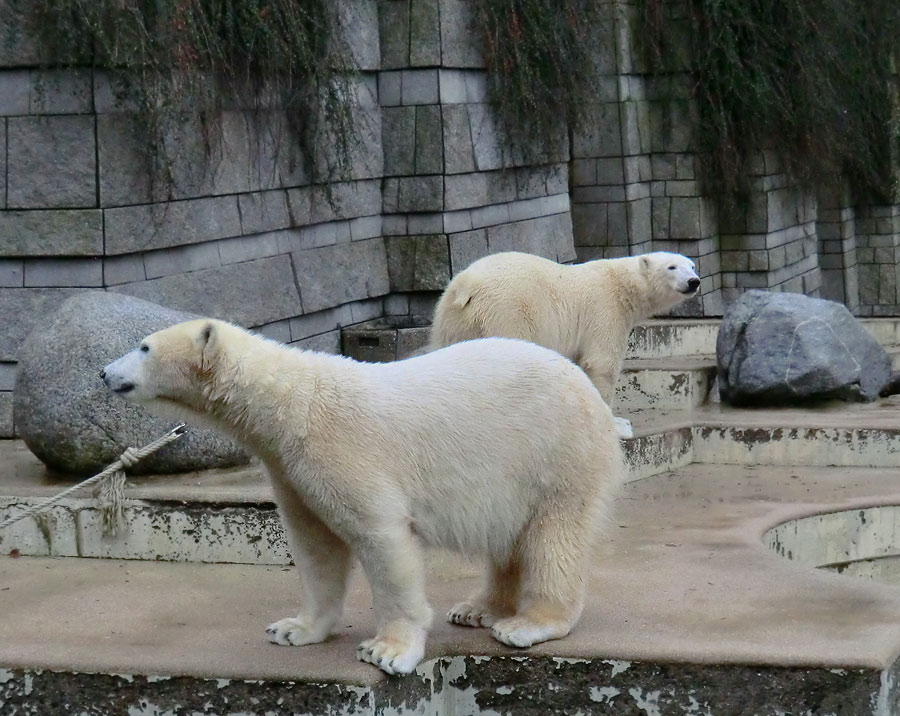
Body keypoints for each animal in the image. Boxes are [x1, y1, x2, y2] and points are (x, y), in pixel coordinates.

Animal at [102, 318, 624, 676]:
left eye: (144, 346)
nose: (105, 373)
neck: (293, 404)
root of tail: (591, 393)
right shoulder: (290, 469)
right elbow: (315, 547)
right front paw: (293, 629)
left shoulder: (344, 449)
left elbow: (381, 538)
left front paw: (387, 650)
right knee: (508, 539)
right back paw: (477, 608)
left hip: (557, 454)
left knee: (554, 536)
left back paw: (527, 623)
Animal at [428, 252, 704, 442]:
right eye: (671, 266)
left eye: (691, 265)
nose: (694, 281)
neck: (622, 283)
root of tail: (466, 286)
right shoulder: (605, 311)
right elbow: (601, 365)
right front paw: (618, 425)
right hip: (507, 311)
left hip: (452, 320)